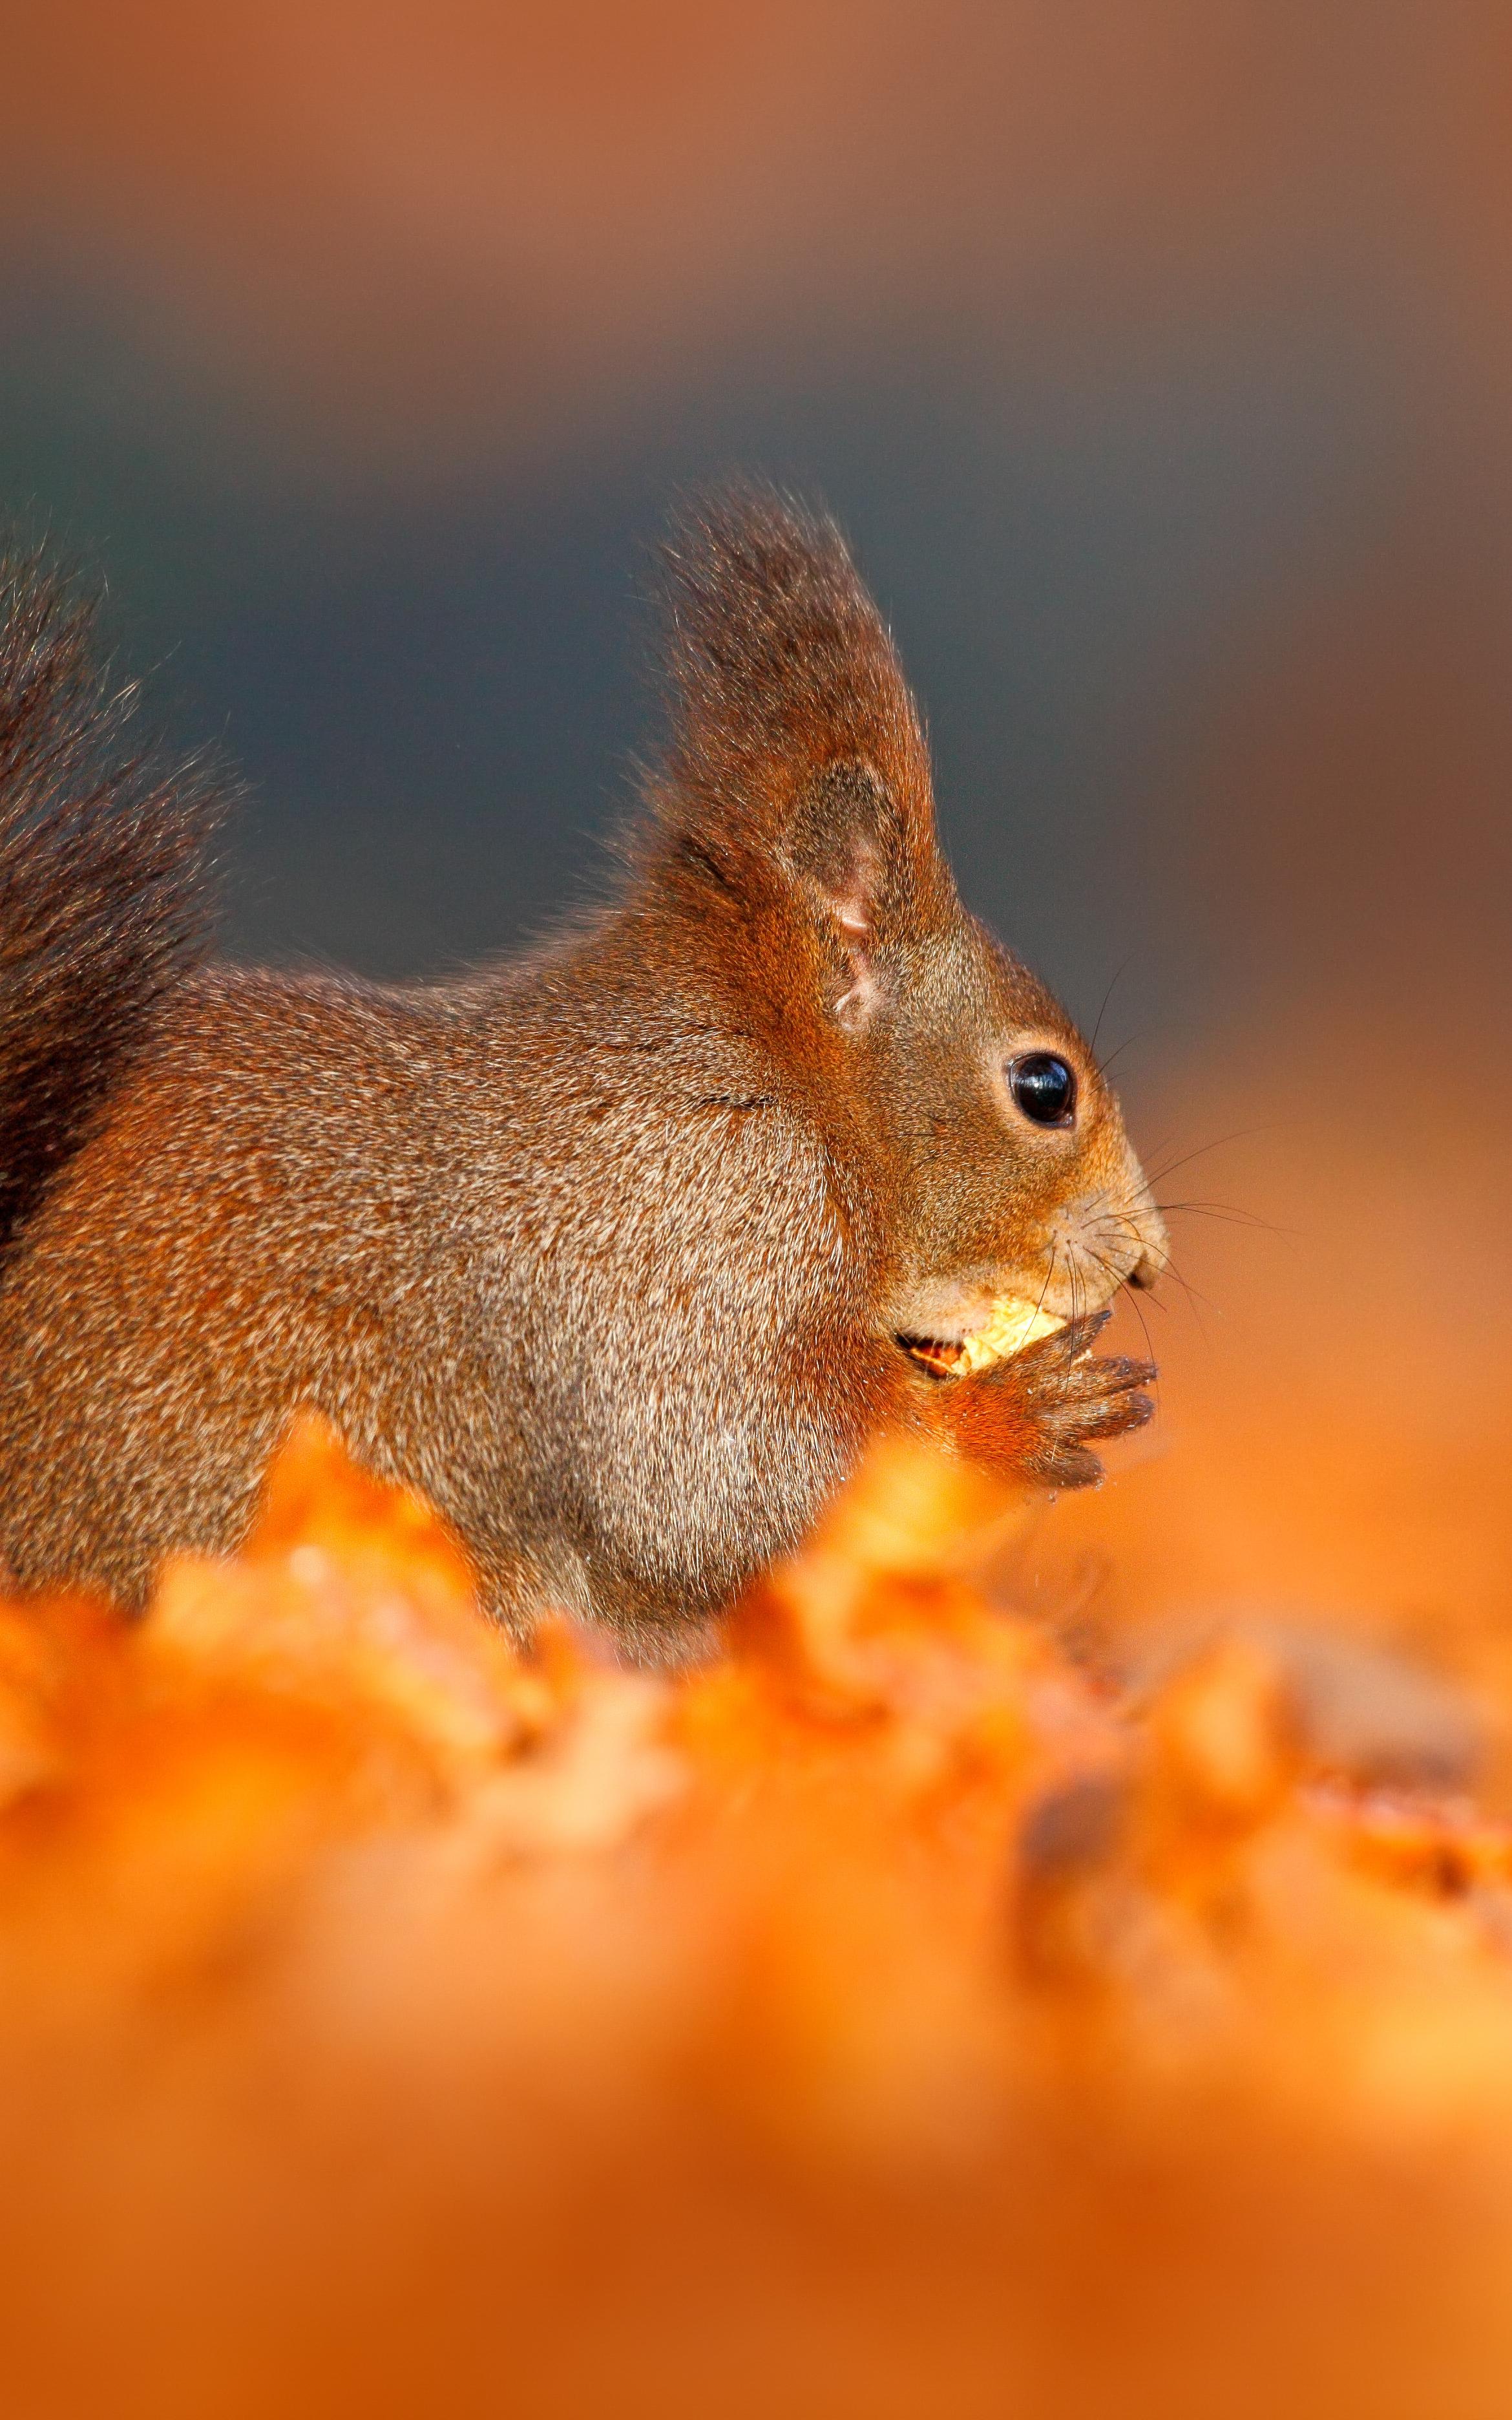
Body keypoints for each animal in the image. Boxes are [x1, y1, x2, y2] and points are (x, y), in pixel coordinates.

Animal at [0, 491, 1161, 1664]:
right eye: (1045, 1088)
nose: (1148, 1259)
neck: (788, 1093)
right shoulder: (686, 1226)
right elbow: (715, 1467)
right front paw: (1018, 1417)